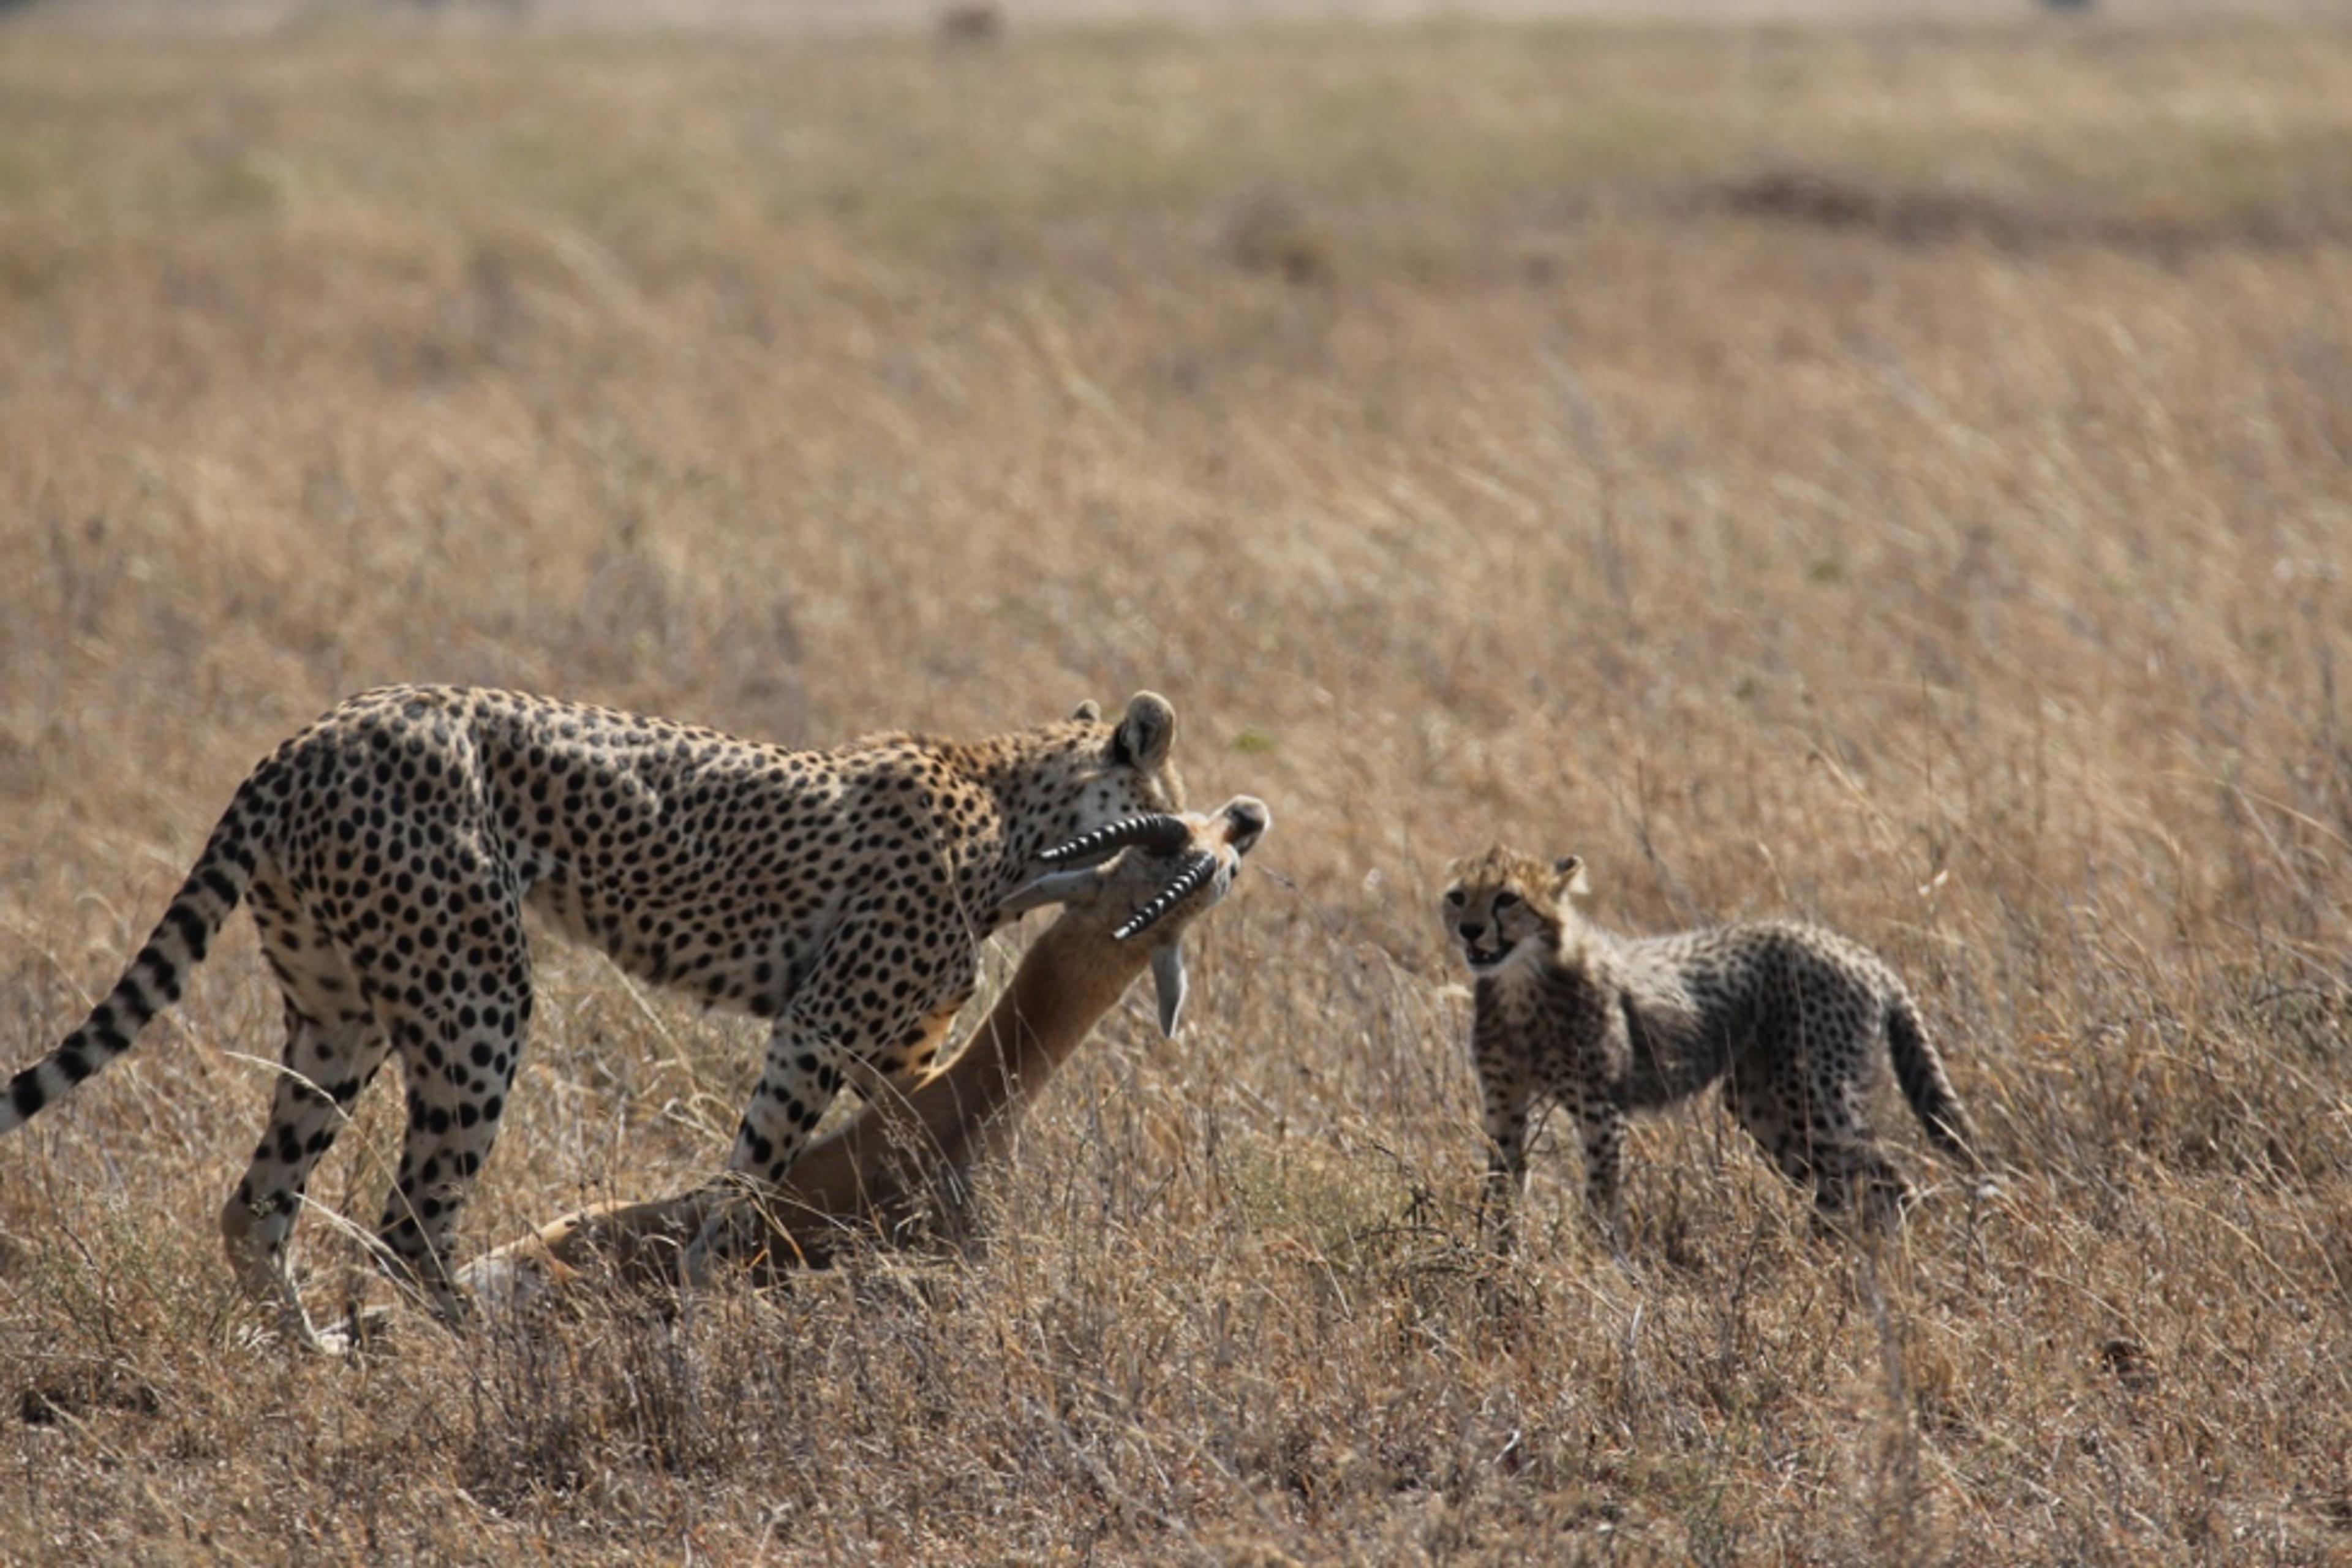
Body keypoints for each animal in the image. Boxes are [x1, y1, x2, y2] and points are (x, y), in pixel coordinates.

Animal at [0, 686, 1176, 1354]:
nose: (1206, 838)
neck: (1010, 805)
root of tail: (315, 735)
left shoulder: (898, 1050)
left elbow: (924, 1127)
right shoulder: (814, 1025)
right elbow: (751, 1177)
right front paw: (705, 1299)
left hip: (340, 1018)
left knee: (258, 1205)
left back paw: (319, 1355)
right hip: (476, 994)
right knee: (411, 1221)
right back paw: (486, 1349)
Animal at [1439, 846, 1975, 1250]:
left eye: (1508, 899)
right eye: (1458, 896)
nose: (1470, 929)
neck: (1520, 983)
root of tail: (1859, 953)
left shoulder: (1600, 1109)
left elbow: (1599, 1198)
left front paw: (1594, 1264)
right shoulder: (1505, 1106)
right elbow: (1503, 1190)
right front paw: (1499, 1266)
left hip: (1816, 1094)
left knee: (1888, 1182)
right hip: (1762, 1103)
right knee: (1837, 1186)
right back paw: (1823, 1257)